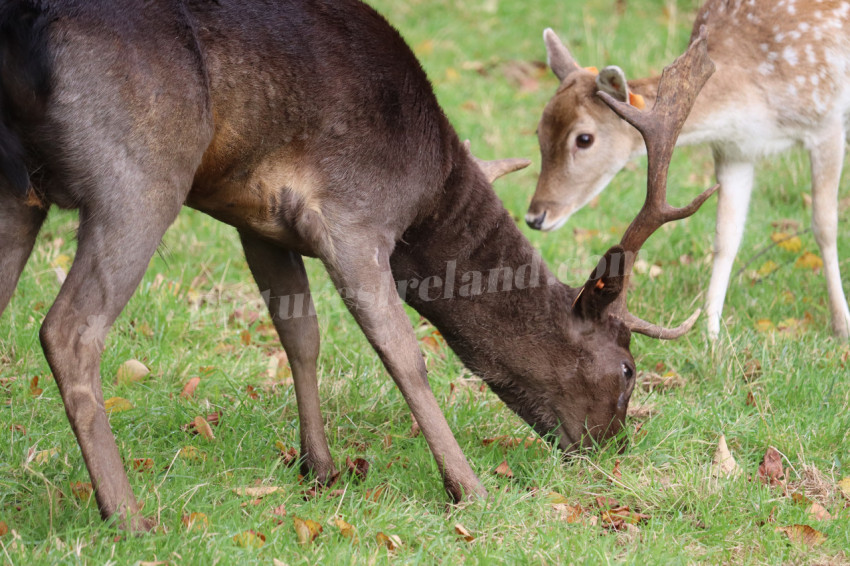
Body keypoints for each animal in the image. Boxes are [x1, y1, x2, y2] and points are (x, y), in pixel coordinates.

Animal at [0, 0, 716, 532]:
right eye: (627, 370)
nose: (614, 451)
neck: (427, 195)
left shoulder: (257, 220)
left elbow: (301, 335)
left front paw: (320, 468)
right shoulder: (355, 218)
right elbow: (404, 353)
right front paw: (468, 488)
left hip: (18, 193)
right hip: (141, 173)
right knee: (68, 330)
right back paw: (127, 517)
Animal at [528, 0, 848, 342]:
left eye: (584, 138)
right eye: (539, 131)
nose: (534, 217)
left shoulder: (827, 122)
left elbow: (825, 225)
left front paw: (842, 325)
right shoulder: (735, 150)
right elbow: (726, 237)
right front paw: (711, 334)